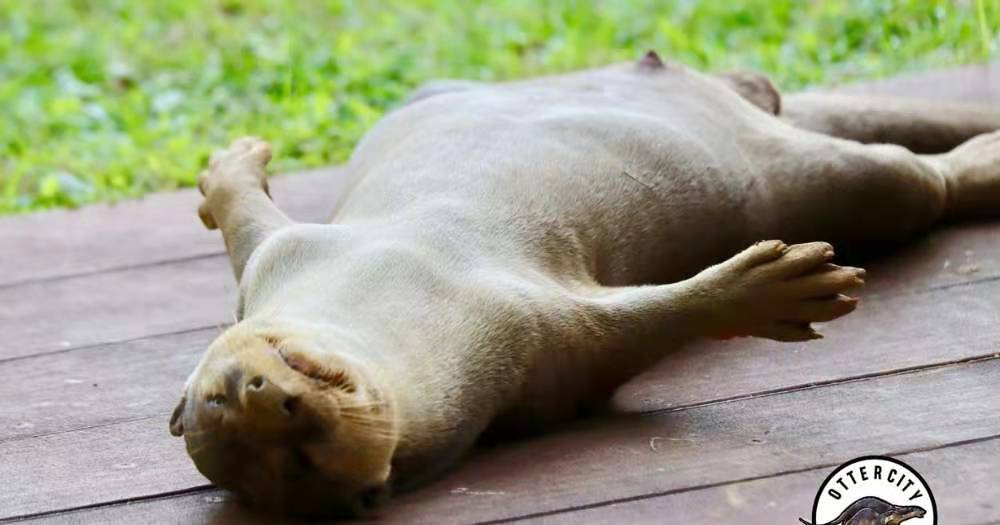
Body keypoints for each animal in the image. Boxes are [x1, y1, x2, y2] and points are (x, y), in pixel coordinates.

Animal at [170, 51, 1000, 512]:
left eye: (222, 391)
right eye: (298, 459)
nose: (263, 394)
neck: (393, 303)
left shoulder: (286, 256)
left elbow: (253, 225)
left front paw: (226, 172)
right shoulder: (537, 338)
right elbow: (644, 323)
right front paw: (767, 289)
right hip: (836, 177)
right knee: (914, 178)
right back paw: (983, 165)